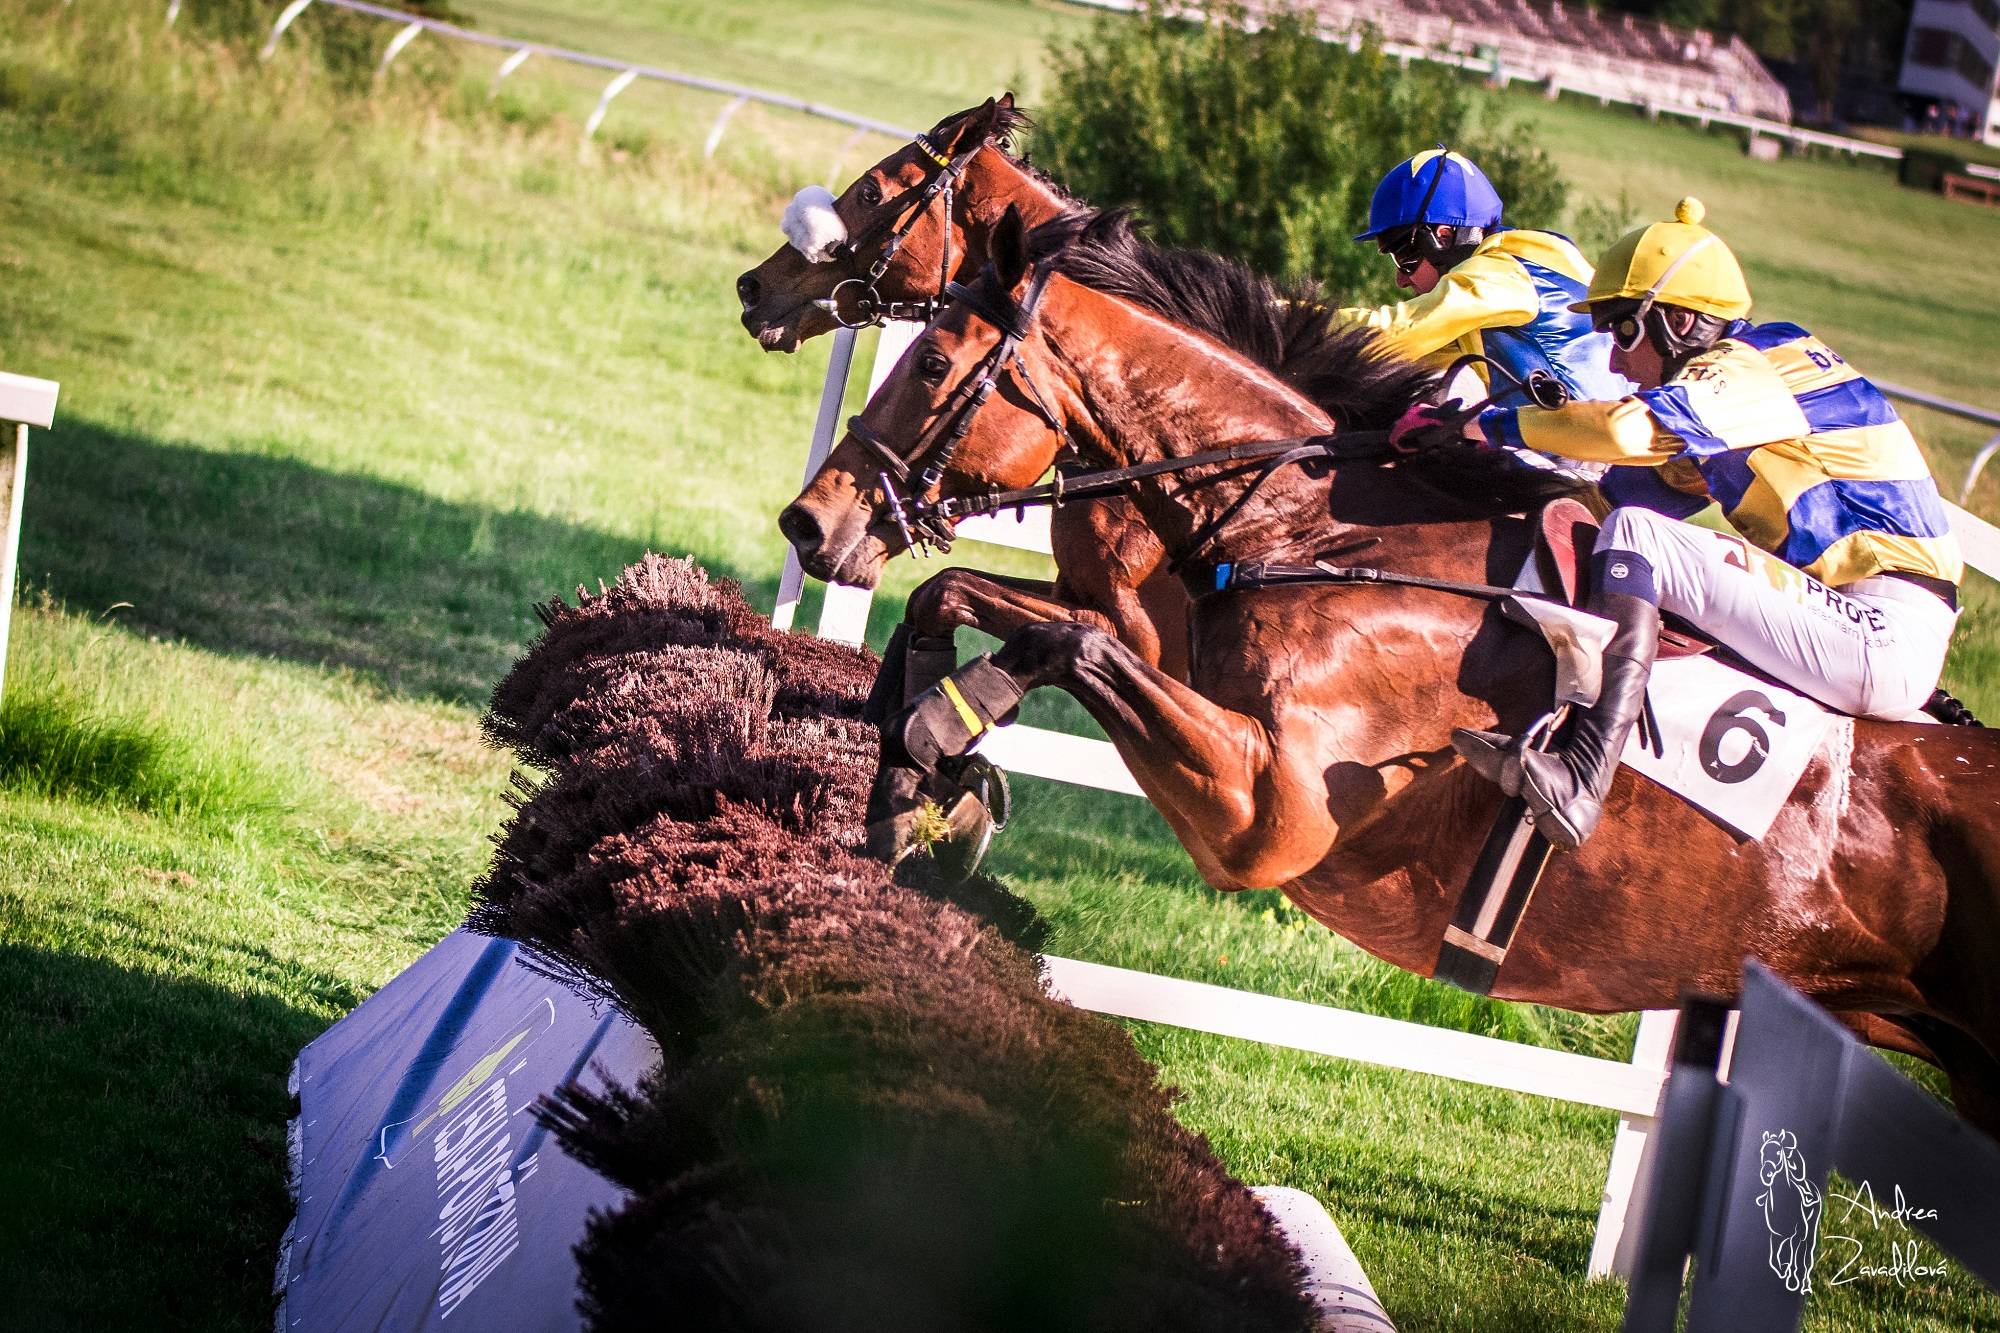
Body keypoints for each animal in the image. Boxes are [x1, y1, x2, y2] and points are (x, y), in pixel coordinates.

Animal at [779, 204, 2000, 1135]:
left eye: (935, 362)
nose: (809, 521)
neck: (1321, 525)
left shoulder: (1267, 811)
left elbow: (1073, 642)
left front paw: (942, 746)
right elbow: (960, 598)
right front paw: (912, 780)